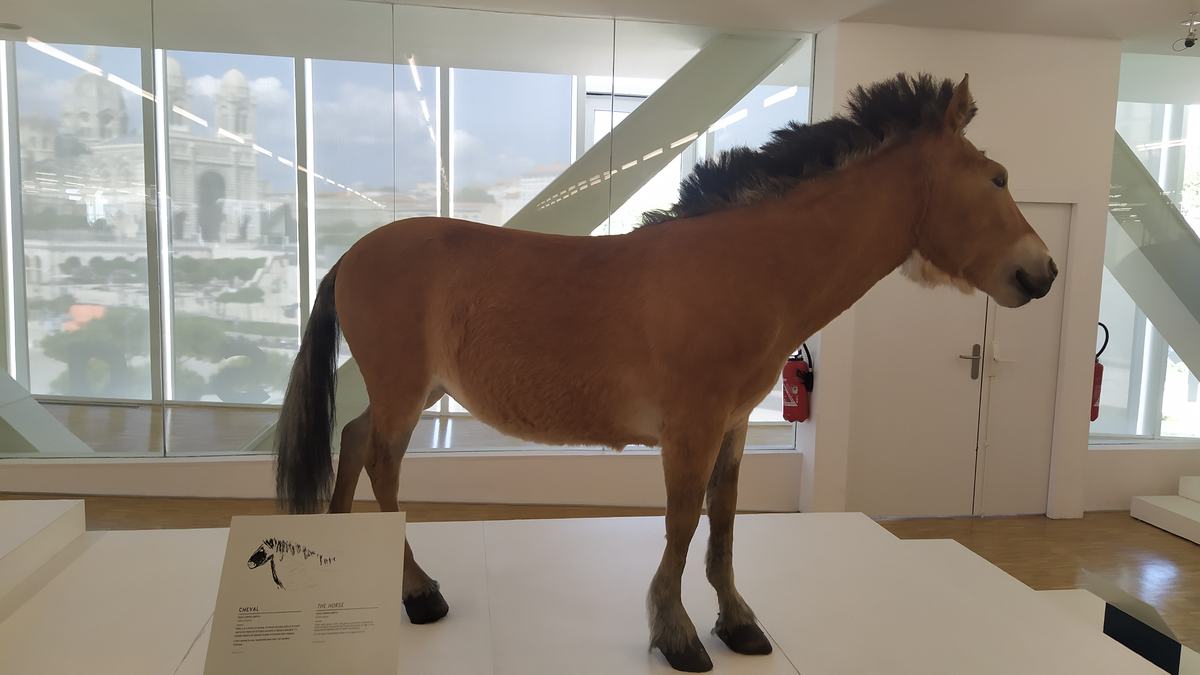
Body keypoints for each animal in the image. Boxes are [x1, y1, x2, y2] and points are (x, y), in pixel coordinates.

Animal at [276, 73, 1056, 667]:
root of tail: (354, 253)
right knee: (382, 463)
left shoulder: (732, 427)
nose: (1041, 273)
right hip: (407, 391)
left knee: (352, 440)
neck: (748, 267)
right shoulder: (691, 429)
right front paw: (677, 633)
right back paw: (418, 592)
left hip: (408, 390)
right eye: (997, 179)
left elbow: (724, 526)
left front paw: (737, 621)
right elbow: (683, 524)